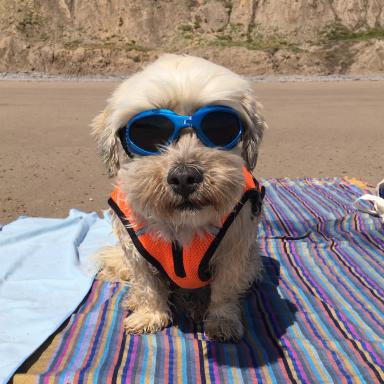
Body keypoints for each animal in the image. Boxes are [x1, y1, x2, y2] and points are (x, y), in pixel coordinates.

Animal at [93, 54, 268, 342]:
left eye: (221, 126)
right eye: (148, 132)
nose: (185, 176)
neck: (183, 224)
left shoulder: (234, 249)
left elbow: (224, 291)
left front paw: (222, 321)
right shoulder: (136, 254)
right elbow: (148, 286)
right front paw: (149, 315)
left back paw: (196, 304)